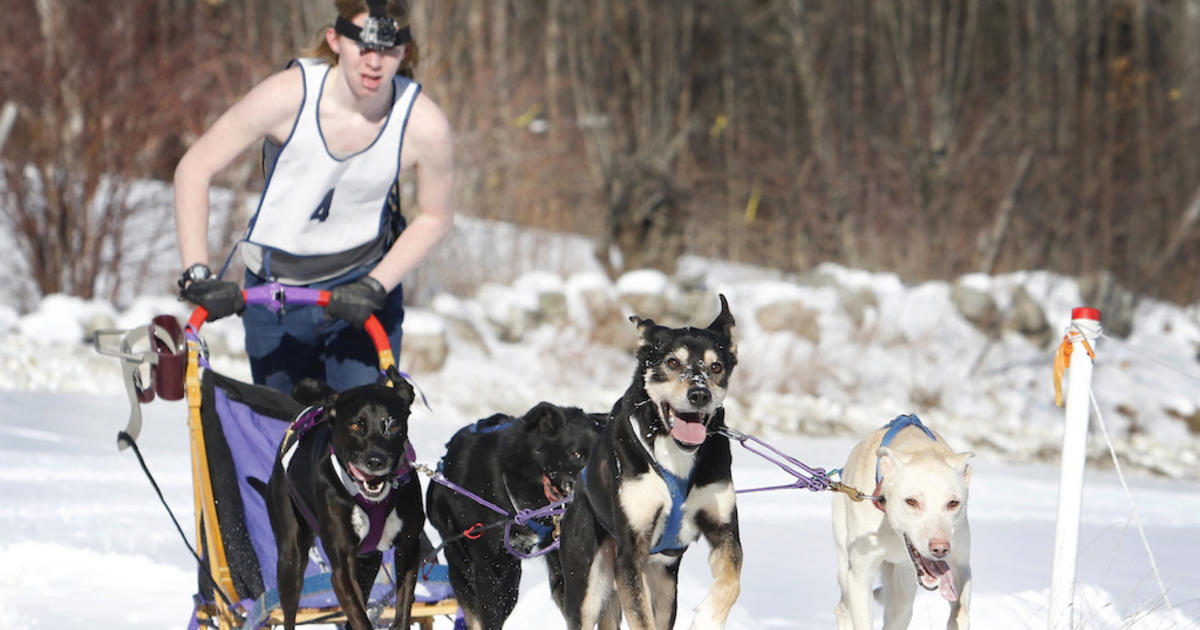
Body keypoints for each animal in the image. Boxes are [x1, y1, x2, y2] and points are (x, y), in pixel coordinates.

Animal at [256, 376, 422, 628]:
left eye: (393, 426)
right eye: (356, 425)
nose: (376, 461)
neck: (374, 502)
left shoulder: (409, 549)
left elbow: (402, 609)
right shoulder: (341, 566)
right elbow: (359, 617)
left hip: (368, 563)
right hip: (290, 557)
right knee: (289, 609)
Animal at [559, 295, 739, 628]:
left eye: (716, 366)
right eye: (672, 362)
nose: (699, 394)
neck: (675, 455)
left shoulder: (723, 528)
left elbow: (733, 578)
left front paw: (708, 617)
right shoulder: (631, 554)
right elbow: (641, 620)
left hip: (665, 586)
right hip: (587, 586)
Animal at [835, 415, 974, 624]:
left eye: (953, 503)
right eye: (911, 501)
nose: (940, 548)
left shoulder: (961, 565)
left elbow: (959, 610)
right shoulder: (860, 574)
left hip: (902, 594)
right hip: (845, 565)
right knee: (842, 608)